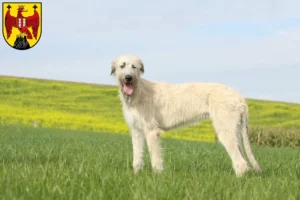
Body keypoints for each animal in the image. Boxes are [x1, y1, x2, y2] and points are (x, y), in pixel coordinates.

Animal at [111, 54, 262, 177]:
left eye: (134, 66)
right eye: (122, 65)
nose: (128, 77)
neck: (137, 92)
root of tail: (240, 97)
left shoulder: (151, 131)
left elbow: (155, 158)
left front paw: (157, 177)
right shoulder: (136, 131)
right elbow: (137, 157)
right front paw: (136, 175)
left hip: (225, 130)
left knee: (241, 162)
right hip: (235, 131)